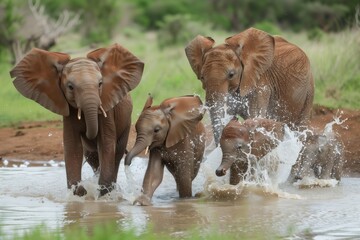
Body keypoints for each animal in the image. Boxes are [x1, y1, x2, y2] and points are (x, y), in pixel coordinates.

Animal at [8, 44, 143, 196]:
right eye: (70, 87)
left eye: (100, 84)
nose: (87, 133)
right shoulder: (68, 112)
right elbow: (73, 147)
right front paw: (79, 190)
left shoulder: (107, 108)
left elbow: (106, 144)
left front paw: (102, 192)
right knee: (92, 157)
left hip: (126, 122)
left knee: (116, 154)